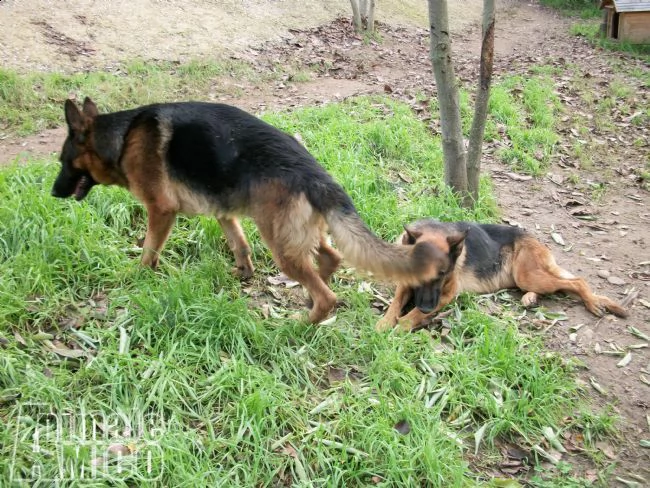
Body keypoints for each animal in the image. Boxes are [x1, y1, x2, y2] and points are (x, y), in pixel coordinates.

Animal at [52, 97, 440, 322]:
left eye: (63, 162)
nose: (54, 193)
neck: (122, 138)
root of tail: (318, 177)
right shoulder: (225, 211)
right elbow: (239, 243)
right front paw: (243, 272)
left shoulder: (161, 211)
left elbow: (149, 250)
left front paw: (138, 276)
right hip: (298, 234)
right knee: (330, 258)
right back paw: (309, 296)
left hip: (280, 243)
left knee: (328, 297)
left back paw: (301, 324)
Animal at [374, 220, 628, 332]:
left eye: (444, 274)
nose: (427, 306)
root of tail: (531, 237)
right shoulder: (406, 285)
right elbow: (395, 302)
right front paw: (386, 321)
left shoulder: (446, 294)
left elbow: (414, 313)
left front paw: (405, 322)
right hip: (526, 279)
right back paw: (530, 298)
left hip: (528, 274)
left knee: (577, 281)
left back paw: (593, 303)